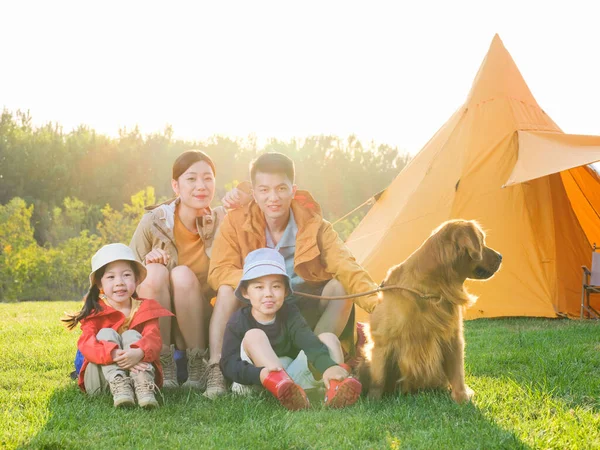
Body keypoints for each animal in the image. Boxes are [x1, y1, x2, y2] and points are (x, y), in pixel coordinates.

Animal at [360, 220, 502, 402]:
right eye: (481, 242)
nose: (501, 256)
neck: (429, 290)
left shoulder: (452, 336)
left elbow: (457, 373)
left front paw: (462, 398)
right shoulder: (381, 341)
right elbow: (378, 379)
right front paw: (373, 401)